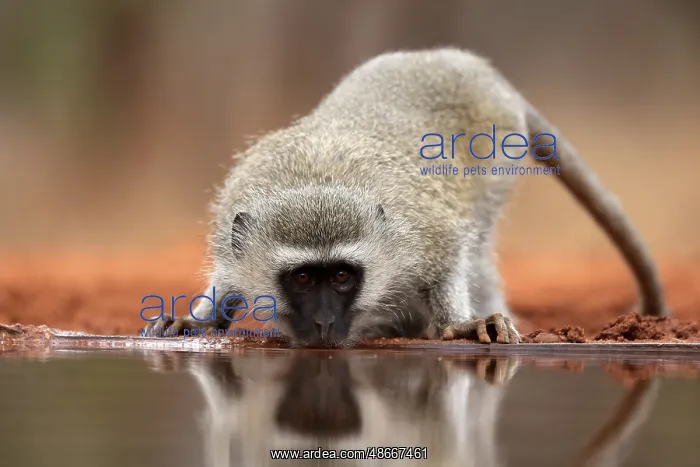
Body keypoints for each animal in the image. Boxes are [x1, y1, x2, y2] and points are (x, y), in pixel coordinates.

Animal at [142, 47, 667, 347]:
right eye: (304, 279)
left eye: (341, 276)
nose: (324, 325)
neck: (316, 180)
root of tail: (468, 65)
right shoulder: (233, 224)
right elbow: (228, 279)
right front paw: (201, 322)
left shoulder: (424, 235)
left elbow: (451, 255)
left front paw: (459, 324)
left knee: (477, 249)